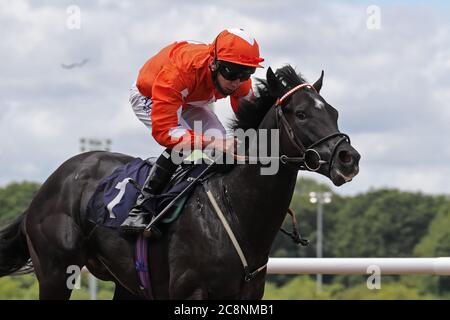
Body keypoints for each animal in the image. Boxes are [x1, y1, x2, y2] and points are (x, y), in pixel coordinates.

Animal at [0, 65, 358, 300]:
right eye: (301, 114)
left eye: (334, 112)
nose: (348, 158)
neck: (235, 209)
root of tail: (46, 187)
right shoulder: (190, 293)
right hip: (57, 273)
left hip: (128, 285)